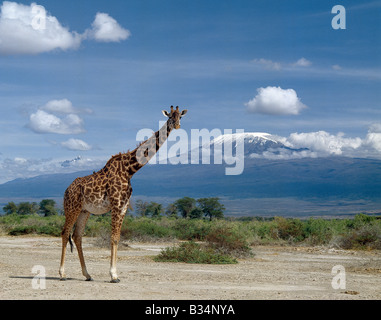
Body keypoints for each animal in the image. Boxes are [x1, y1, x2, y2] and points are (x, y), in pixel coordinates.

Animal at [59, 105, 187, 282]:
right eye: (169, 117)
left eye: (180, 117)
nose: (177, 126)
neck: (130, 170)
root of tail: (66, 190)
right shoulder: (116, 204)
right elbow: (113, 238)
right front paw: (114, 275)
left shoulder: (124, 206)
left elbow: (117, 238)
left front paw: (114, 273)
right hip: (72, 208)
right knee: (65, 233)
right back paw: (62, 273)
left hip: (84, 211)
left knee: (77, 236)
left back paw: (87, 274)